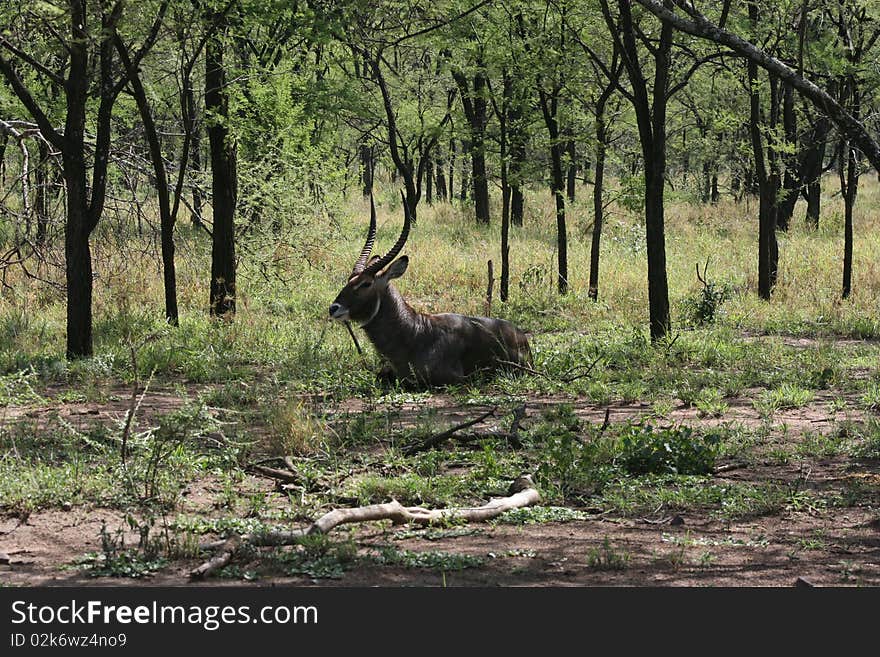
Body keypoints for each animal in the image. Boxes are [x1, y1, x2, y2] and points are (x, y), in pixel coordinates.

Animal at [330, 195, 532, 390]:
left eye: (366, 283)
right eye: (349, 280)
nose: (333, 308)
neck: (415, 332)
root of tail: (521, 335)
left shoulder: (452, 379)